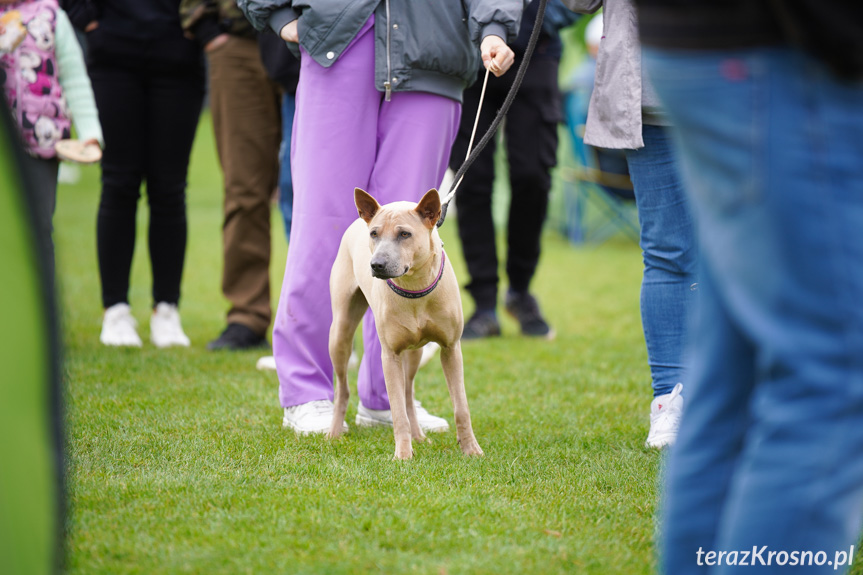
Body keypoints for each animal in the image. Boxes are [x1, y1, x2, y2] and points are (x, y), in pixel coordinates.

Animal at [328, 189, 482, 464]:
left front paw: (470, 448)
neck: (415, 287)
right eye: (374, 234)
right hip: (340, 333)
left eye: (404, 234)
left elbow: (461, 407)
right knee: (343, 389)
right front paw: (402, 454)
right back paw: (335, 432)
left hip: (415, 352)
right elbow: (397, 410)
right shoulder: (390, 356)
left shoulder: (451, 349)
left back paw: (419, 435)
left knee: (409, 392)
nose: (376, 265)